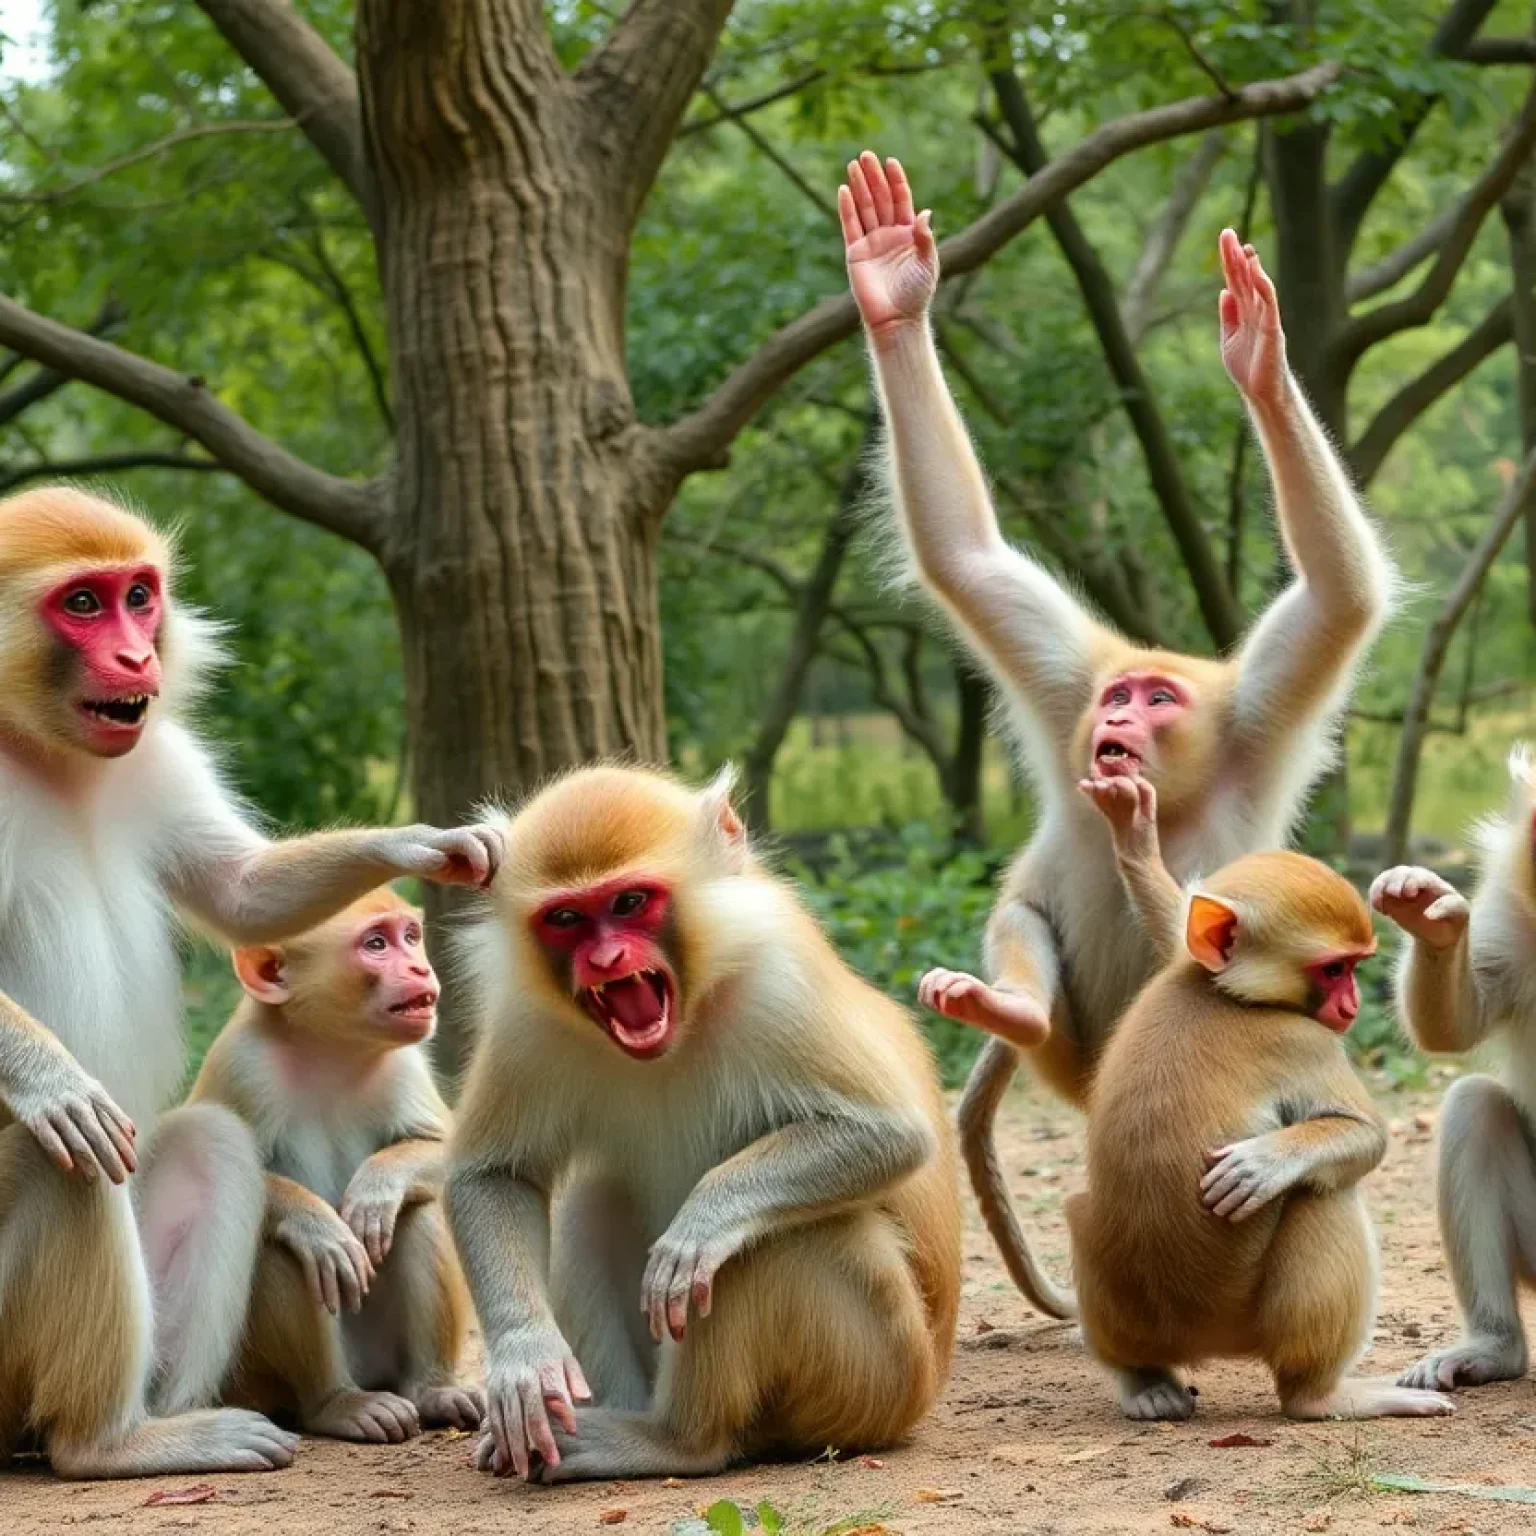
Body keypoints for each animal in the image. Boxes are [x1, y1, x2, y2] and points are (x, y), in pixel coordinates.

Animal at [190, 890, 479, 1437]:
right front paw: (319, 1225)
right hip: (254, 1380)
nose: (419, 965)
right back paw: (338, 1403)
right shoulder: (240, 1064)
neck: (328, 1047)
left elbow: (448, 1151)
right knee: (281, 1247)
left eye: (411, 935)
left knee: (419, 1209)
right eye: (376, 944)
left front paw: (378, 1186)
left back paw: (433, 1390)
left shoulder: (406, 1062)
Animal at [442, 768, 958, 1486]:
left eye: (630, 902)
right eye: (567, 919)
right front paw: (526, 1358)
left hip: (877, 1383)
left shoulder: (779, 982)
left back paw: (678, 1440)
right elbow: (494, 1175)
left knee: (776, 1241)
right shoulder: (528, 1021)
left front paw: (702, 1223)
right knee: (594, 1202)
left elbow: (890, 1134)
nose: (605, 960)